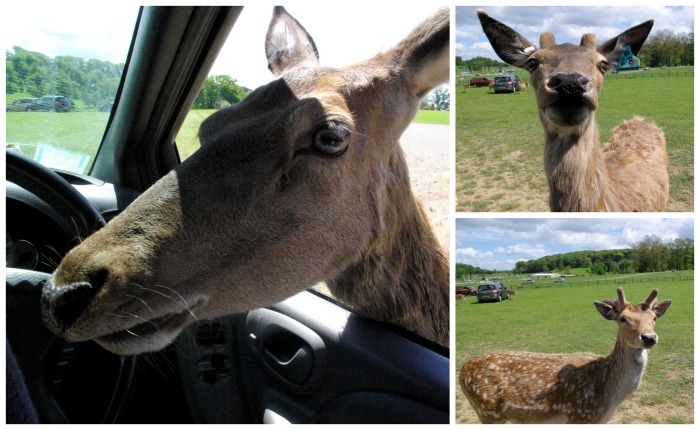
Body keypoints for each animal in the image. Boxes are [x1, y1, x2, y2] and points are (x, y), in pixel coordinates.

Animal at [460, 288, 672, 424]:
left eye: (654, 318)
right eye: (623, 319)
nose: (649, 337)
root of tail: (462, 371)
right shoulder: (579, 416)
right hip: (487, 411)